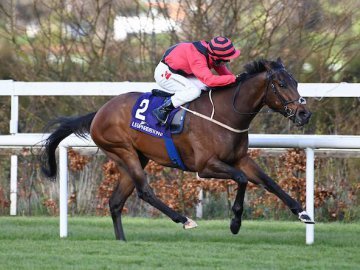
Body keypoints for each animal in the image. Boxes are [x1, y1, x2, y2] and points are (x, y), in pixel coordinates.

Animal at [40, 57, 314, 240]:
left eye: (296, 82)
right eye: (281, 84)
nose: (304, 113)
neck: (226, 113)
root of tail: (99, 112)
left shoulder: (240, 159)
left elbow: (268, 181)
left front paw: (302, 213)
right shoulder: (206, 166)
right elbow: (241, 179)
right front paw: (235, 222)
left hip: (135, 158)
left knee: (116, 202)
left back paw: (122, 241)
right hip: (123, 151)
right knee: (144, 191)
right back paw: (184, 219)